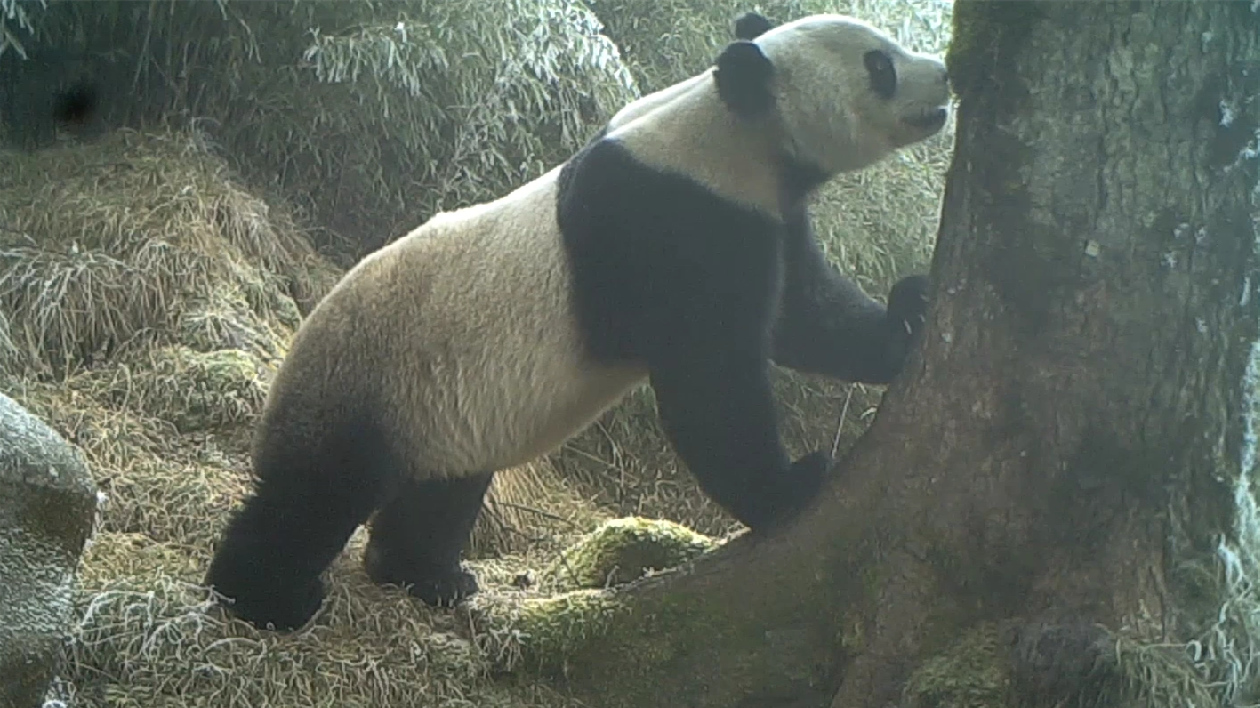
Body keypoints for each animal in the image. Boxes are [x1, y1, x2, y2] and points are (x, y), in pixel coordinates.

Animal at [206, 12, 947, 627]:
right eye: (879, 64)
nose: (944, 72)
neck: (726, 125)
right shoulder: (672, 220)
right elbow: (711, 382)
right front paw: (789, 485)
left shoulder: (758, 210)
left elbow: (805, 315)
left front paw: (909, 316)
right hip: (366, 378)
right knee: (312, 497)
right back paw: (267, 598)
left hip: (438, 408)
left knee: (441, 491)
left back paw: (428, 576)